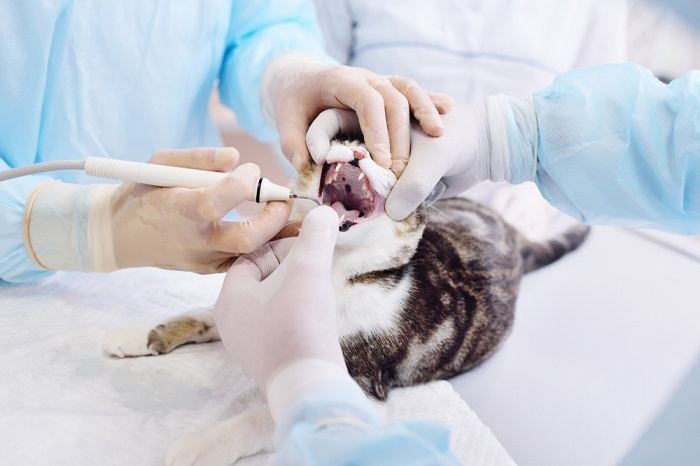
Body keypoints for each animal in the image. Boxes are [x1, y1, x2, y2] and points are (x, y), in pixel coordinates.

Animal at [104, 140, 588, 464]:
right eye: (347, 137)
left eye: (395, 164)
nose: (357, 152)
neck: (333, 268)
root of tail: (512, 239)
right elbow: (205, 314)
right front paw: (137, 335)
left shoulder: (360, 383)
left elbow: (271, 415)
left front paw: (202, 444)